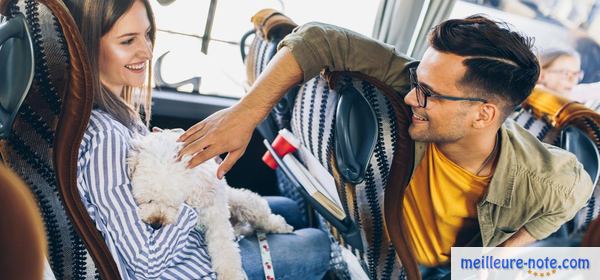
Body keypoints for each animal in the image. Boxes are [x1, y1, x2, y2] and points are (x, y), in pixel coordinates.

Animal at [128, 130, 292, 280]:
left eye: (173, 204)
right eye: (148, 200)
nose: (156, 224)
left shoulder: (216, 216)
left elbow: (224, 249)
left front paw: (230, 275)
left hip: (243, 203)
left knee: (261, 213)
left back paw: (280, 226)